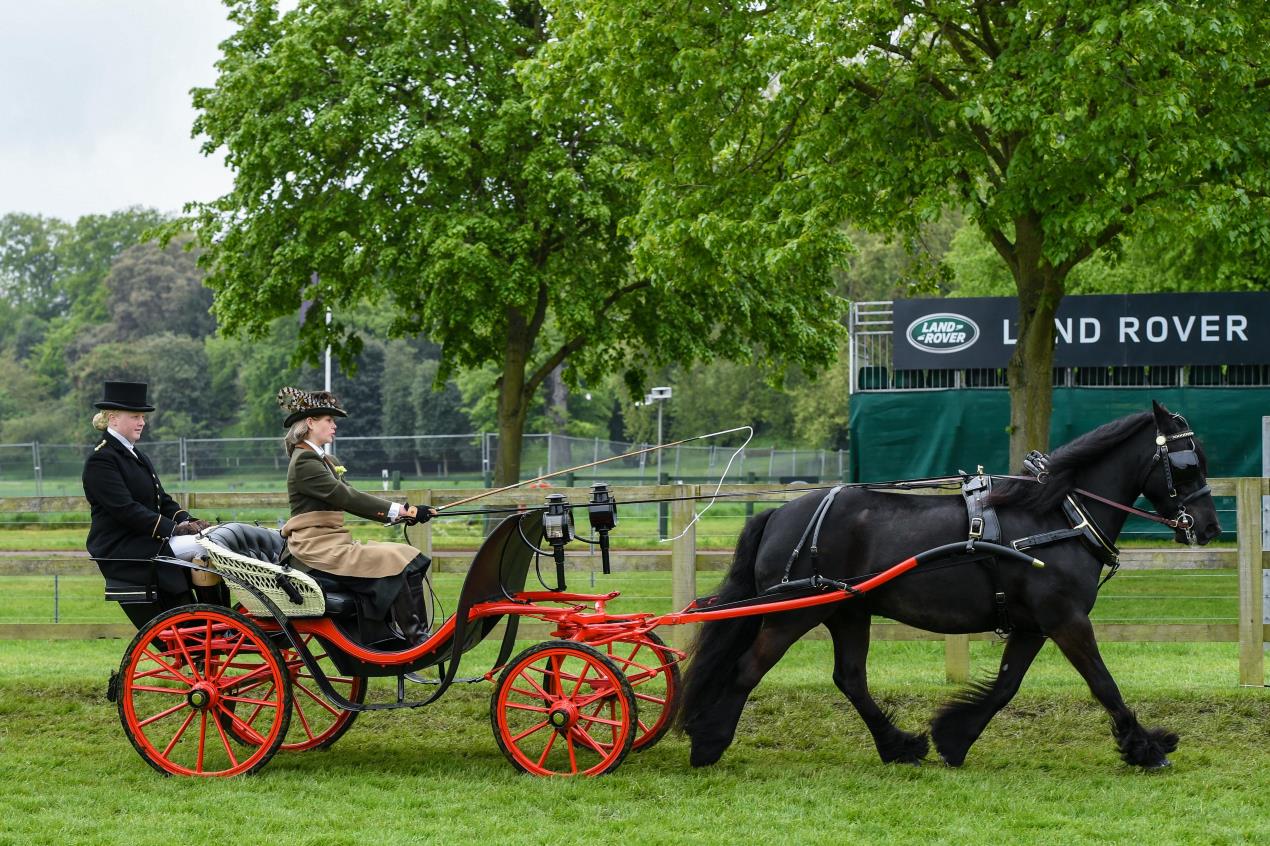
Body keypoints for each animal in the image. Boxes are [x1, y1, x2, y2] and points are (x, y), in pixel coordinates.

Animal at [685, 401, 1219, 762]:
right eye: (1189, 462)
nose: (1209, 527)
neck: (1058, 515)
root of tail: (779, 514)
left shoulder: (1033, 625)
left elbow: (1005, 686)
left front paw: (954, 738)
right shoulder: (1065, 619)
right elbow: (1104, 684)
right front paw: (1147, 748)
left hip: (848, 610)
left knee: (850, 678)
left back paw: (899, 745)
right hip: (795, 612)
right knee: (748, 669)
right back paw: (709, 742)